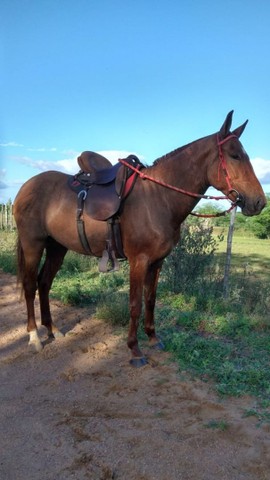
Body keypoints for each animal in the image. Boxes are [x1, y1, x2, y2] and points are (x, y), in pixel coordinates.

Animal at [13, 111, 266, 368]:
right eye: (235, 155)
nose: (259, 202)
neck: (158, 198)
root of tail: (26, 186)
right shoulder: (139, 260)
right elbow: (135, 304)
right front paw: (134, 349)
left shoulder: (157, 262)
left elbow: (150, 299)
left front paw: (153, 337)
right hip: (33, 244)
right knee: (30, 285)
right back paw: (34, 336)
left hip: (57, 247)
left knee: (45, 283)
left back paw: (52, 329)